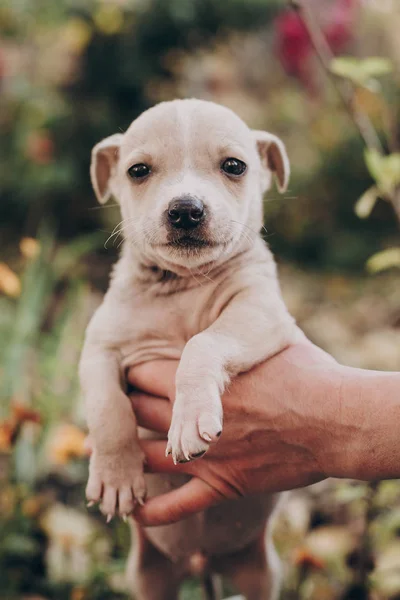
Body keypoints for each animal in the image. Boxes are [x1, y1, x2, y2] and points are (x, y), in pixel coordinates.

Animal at [80, 99, 300, 600]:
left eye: (234, 166)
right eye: (138, 171)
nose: (185, 210)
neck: (182, 284)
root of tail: (201, 560)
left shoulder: (260, 312)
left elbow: (202, 342)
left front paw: (190, 419)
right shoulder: (99, 346)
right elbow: (107, 407)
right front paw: (116, 475)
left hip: (259, 570)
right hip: (150, 572)